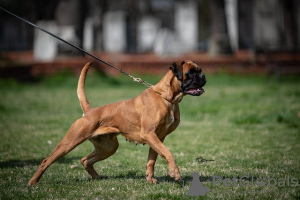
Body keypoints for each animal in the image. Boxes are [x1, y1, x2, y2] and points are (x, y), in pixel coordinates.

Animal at [28, 60, 206, 185]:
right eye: (191, 73)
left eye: (200, 71)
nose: (203, 77)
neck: (167, 98)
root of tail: (90, 111)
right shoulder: (150, 135)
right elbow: (168, 153)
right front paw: (175, 173)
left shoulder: (158, 138)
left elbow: (152, 160)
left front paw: (150, 179)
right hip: (70, 142)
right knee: (46, 161)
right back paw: (33, 182)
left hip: (108, 147)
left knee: (85, 160)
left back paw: (97, 177)